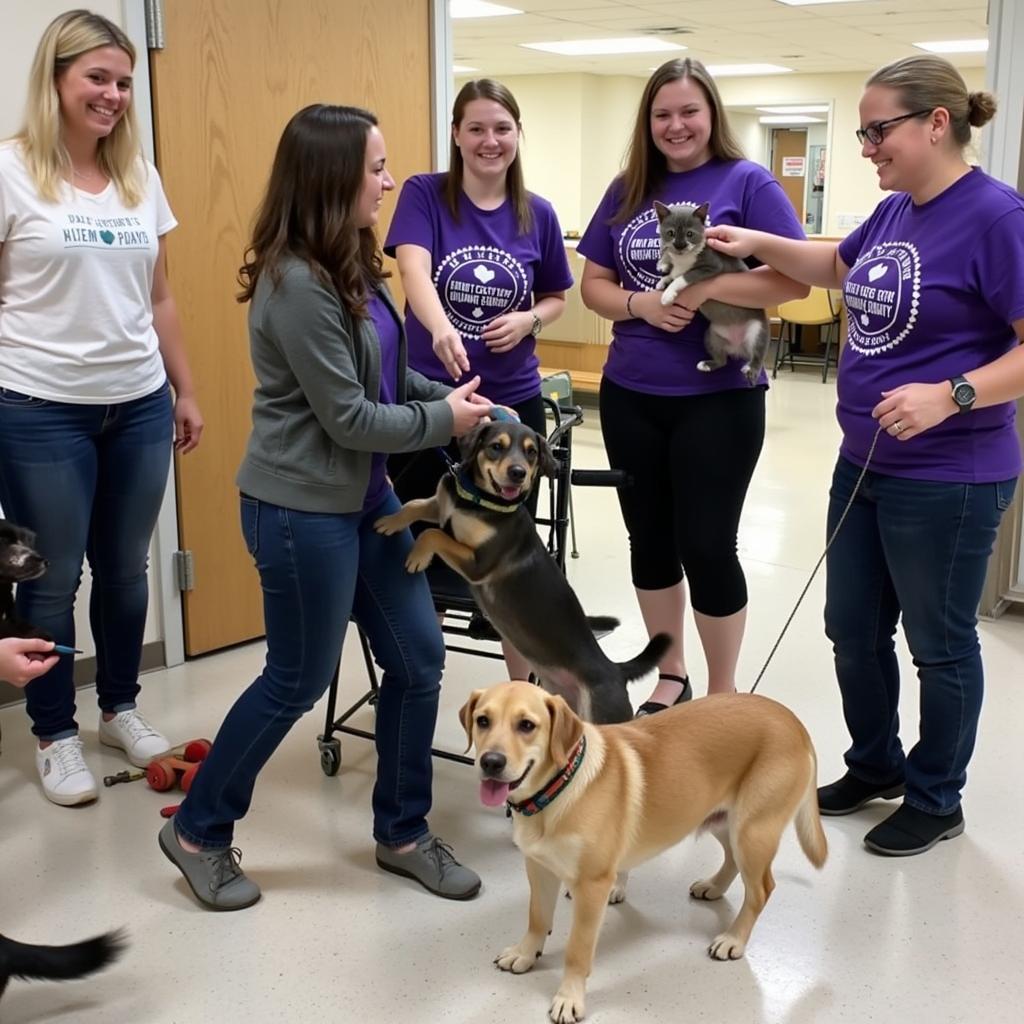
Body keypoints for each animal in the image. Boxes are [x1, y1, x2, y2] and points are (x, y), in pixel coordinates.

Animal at [372, 419, 667, 724]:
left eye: (531, 452)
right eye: (496, 447)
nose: (518, 473)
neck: (479, 500)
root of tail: (616, 670)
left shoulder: (479, 563)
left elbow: (432, 534)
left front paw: (417, 557)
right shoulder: (441, 506)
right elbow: (414, 506)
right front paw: (390, 521)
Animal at [460, 679, 827, 1024]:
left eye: (526, 725)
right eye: (483, 720)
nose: (491, 762)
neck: (555, 792)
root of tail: (793, 721)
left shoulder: (591, 886)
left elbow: (577, 951)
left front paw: (569, 997)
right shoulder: (539, 867)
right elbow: (537, 918)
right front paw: (525, 953)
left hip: (752, 830)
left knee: (761, 889)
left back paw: (733, 939)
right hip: (721, 819)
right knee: (733, 861)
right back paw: (713, 886)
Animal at [655, 201, 770, 385]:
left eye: (690, 234)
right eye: (670, 233)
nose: (679, 245)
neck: (683, 259)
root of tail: (738, 348)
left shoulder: (711, 266)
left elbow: (683, 277)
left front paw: (668, 294)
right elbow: (673, 275)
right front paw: (662, 280)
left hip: (757, 330)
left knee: (758, 355)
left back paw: (751, 369)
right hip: (711, 336)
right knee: (722, 361)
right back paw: (707, 364)